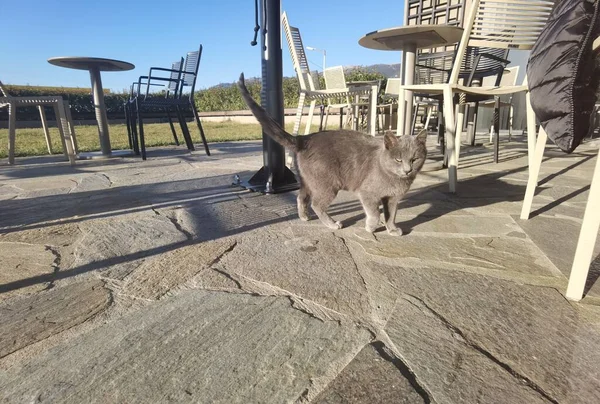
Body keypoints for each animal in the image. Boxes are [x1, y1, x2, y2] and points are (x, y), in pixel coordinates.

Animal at [237, 74, 428, 235]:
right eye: (398, 159)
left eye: (415, 159)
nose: (408, 170)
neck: (395, 179)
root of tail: (303, 138)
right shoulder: (367, 193)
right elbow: (374, 213)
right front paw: (371, 227)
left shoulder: (393, 199)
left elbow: (391, 214)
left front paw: (392, 229)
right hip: (328, 183)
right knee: (316, 204)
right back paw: (332, 224)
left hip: (309, 180)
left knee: (301, 196)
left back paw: (304, 217)